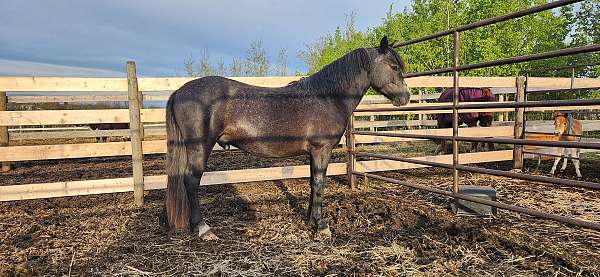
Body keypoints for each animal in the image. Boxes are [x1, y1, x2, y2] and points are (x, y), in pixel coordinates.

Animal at [162, 36, 410, 239]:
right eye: (394, 66)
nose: (405, 97)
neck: (328, 97)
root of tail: (179, 92)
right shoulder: (322, 150)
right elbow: (319, 183)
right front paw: (321, 226)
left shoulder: (313, 153)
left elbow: (312, 182)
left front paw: (311, 220)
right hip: (199, 148)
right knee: (191, 181)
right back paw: (204, 229)